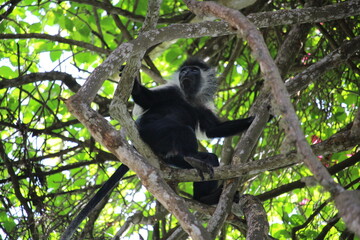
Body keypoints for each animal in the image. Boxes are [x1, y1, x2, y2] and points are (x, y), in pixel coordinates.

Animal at [61, 58, 253, 240]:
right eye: (184, 70)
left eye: (193, 70)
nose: (185, 73)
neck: (188, 98)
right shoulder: (171, 91)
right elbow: (145, 99)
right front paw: (133, 83)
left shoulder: (202, 107)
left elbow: (214, 130)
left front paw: (255, 118)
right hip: (151, 132)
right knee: (182, 130)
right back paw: (193, 158)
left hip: (173, 158)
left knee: (210, 158)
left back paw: (204, 194)